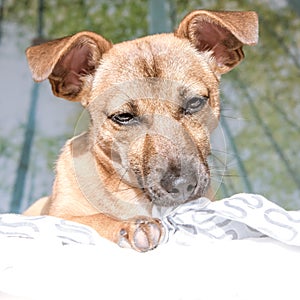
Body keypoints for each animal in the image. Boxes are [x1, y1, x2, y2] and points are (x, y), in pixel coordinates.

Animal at [24, 9, 258, 251]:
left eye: (194, 102)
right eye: (124, 116)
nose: (182, 185)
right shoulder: (58, 214)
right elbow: (94, 219)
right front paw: (132, 226)